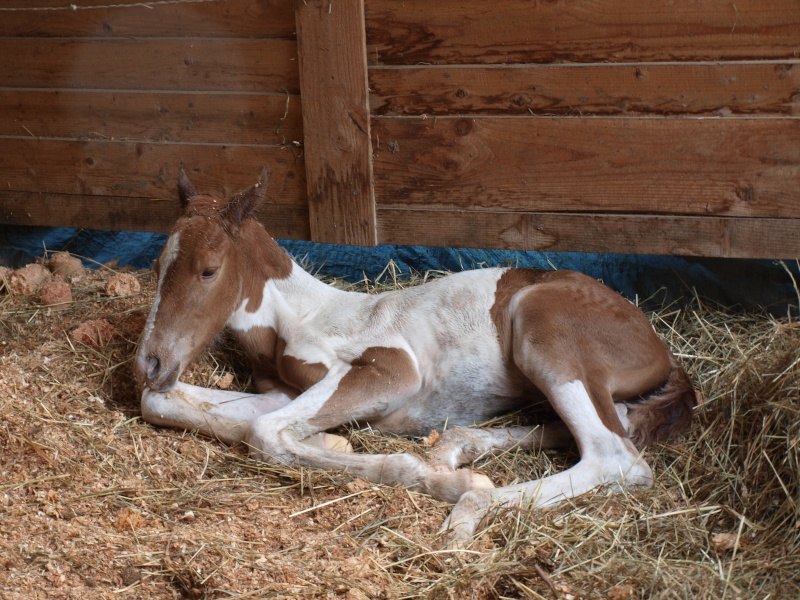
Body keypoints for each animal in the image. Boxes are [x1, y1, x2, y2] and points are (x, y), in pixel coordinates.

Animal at [136, 168, 692, 544]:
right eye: (158, 265)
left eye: (209, 270)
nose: (150, 363)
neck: (300, 316)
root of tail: (657, 342)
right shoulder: (283, 393)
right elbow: (164, 404)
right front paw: (334, 442)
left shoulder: (389, 371)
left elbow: (265, 432)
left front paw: (409, 471)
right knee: (617, 420)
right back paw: (458, 446)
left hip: (542, 326)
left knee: (616, 456)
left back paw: (468, 498)